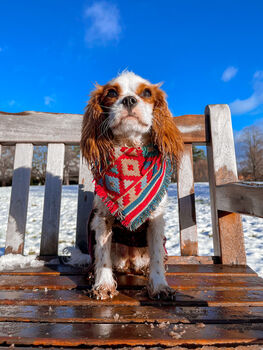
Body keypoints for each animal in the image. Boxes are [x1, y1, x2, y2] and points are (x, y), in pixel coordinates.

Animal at [80, 72, 184, 300]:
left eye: (146, 93)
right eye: (111, 93)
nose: (128, 100)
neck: (130, 149)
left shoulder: (156, 220)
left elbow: (156, 256)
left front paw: (159, 286)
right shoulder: (102, 218)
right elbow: (102, 256)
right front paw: (103, 285)